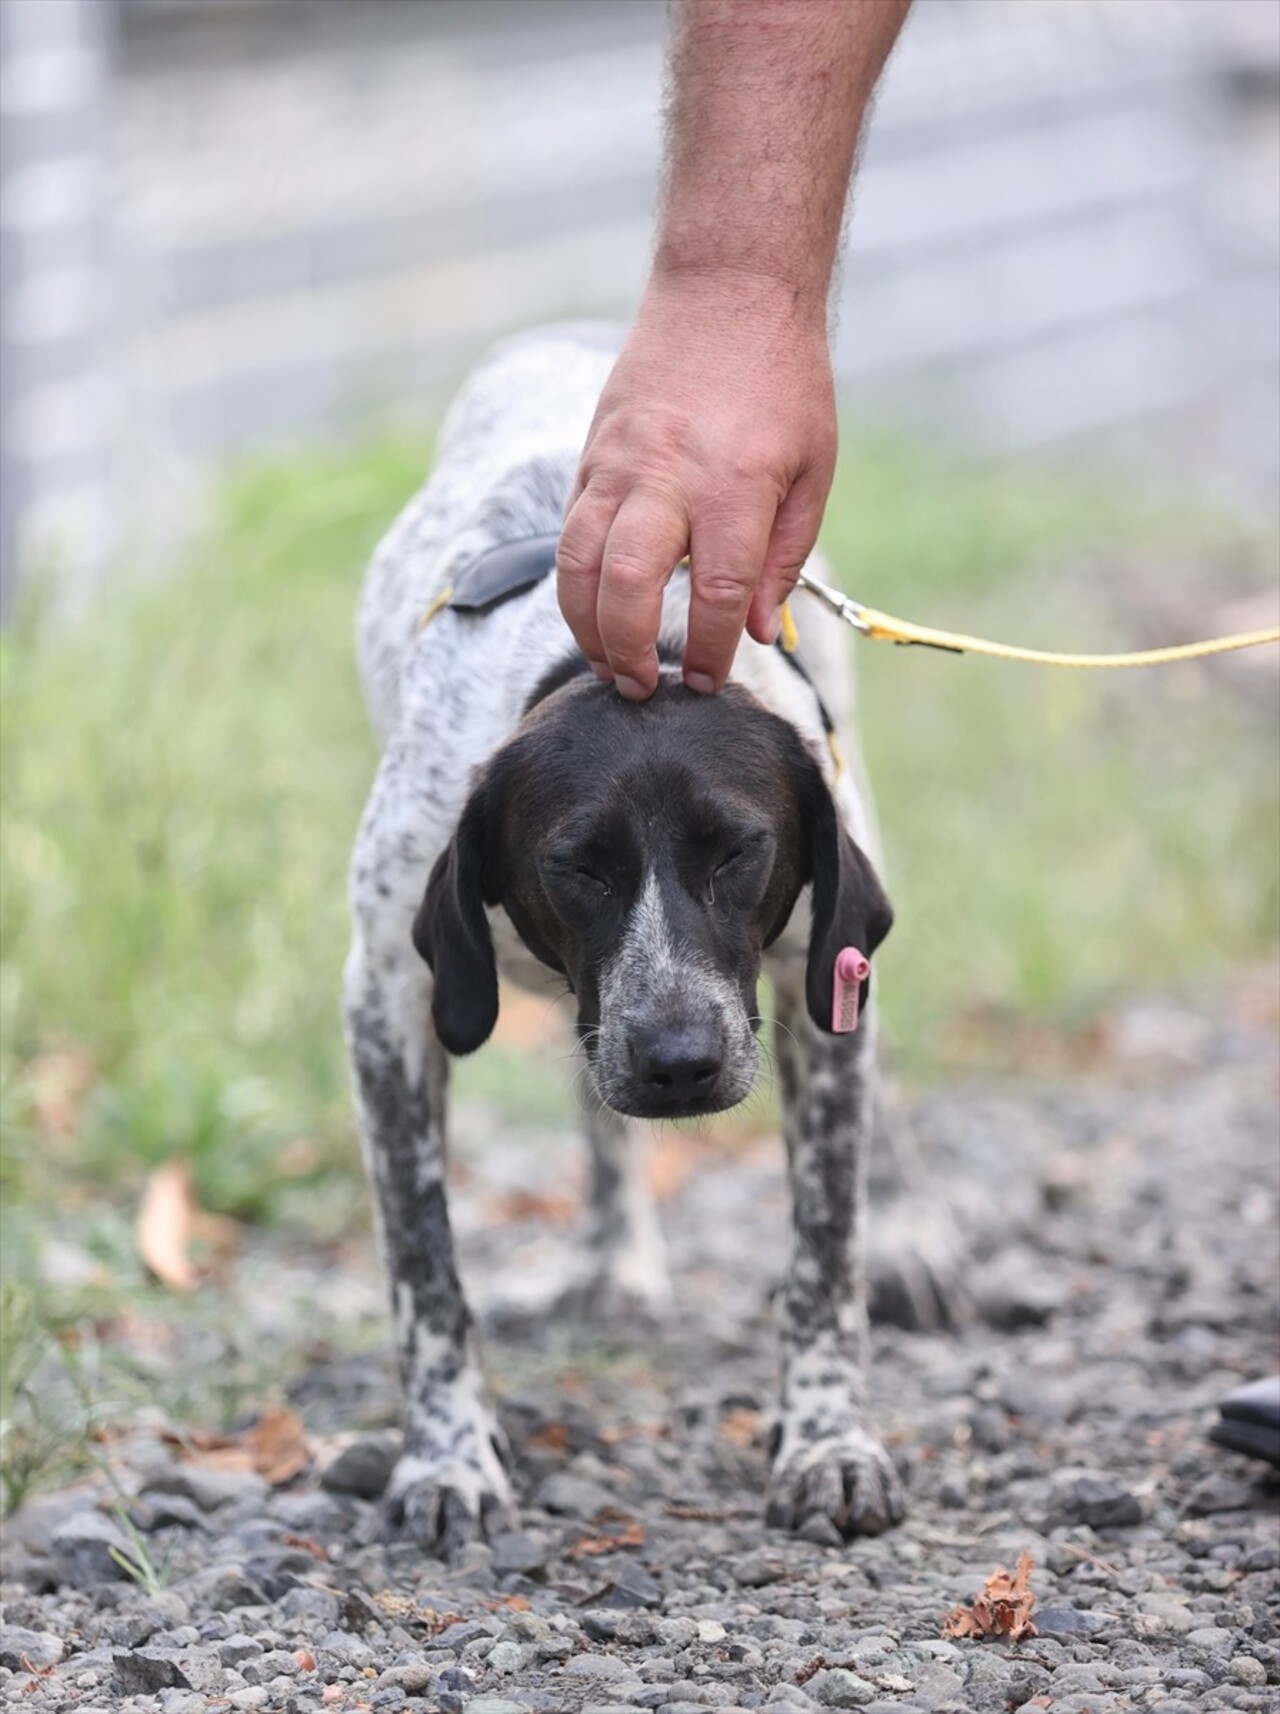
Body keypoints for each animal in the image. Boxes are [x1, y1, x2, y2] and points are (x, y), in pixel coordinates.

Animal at [340, 322, 897, 1556]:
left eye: (738, 849)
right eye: (576, 865)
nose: (679, 1063)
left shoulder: (820, 991)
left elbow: (825, 1249)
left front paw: (828, 1439)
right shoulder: (386, 1001)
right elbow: (423, 1267)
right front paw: (447, 1457)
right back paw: (611, 1258)